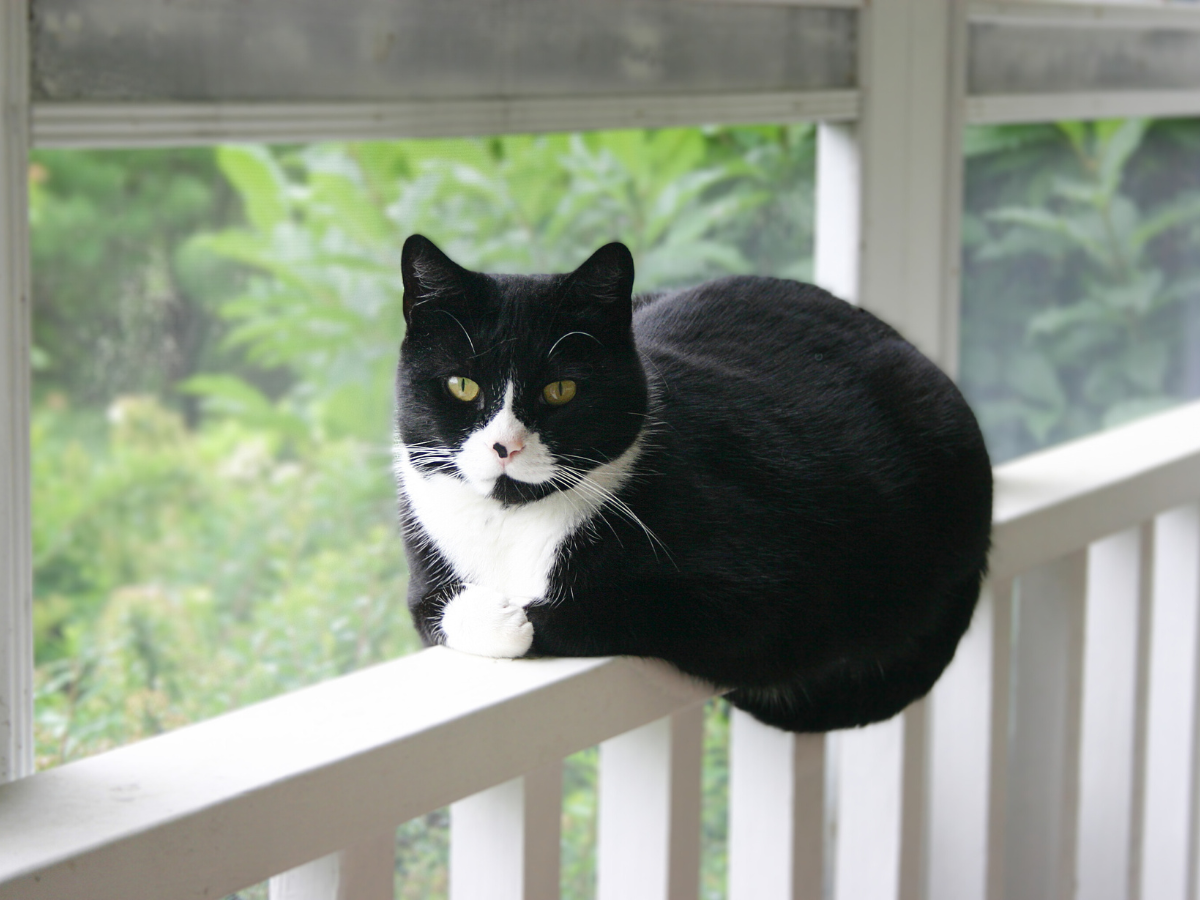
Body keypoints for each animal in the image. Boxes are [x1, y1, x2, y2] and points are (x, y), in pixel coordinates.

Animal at [393, 234, 993, 734]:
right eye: (462, 385)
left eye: (561, 390)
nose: (505, 447)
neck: (514, 527)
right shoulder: (426, 565)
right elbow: (432, 607)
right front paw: (492, 615)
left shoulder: (769, 600)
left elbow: (622, 606)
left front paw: (517, 619)